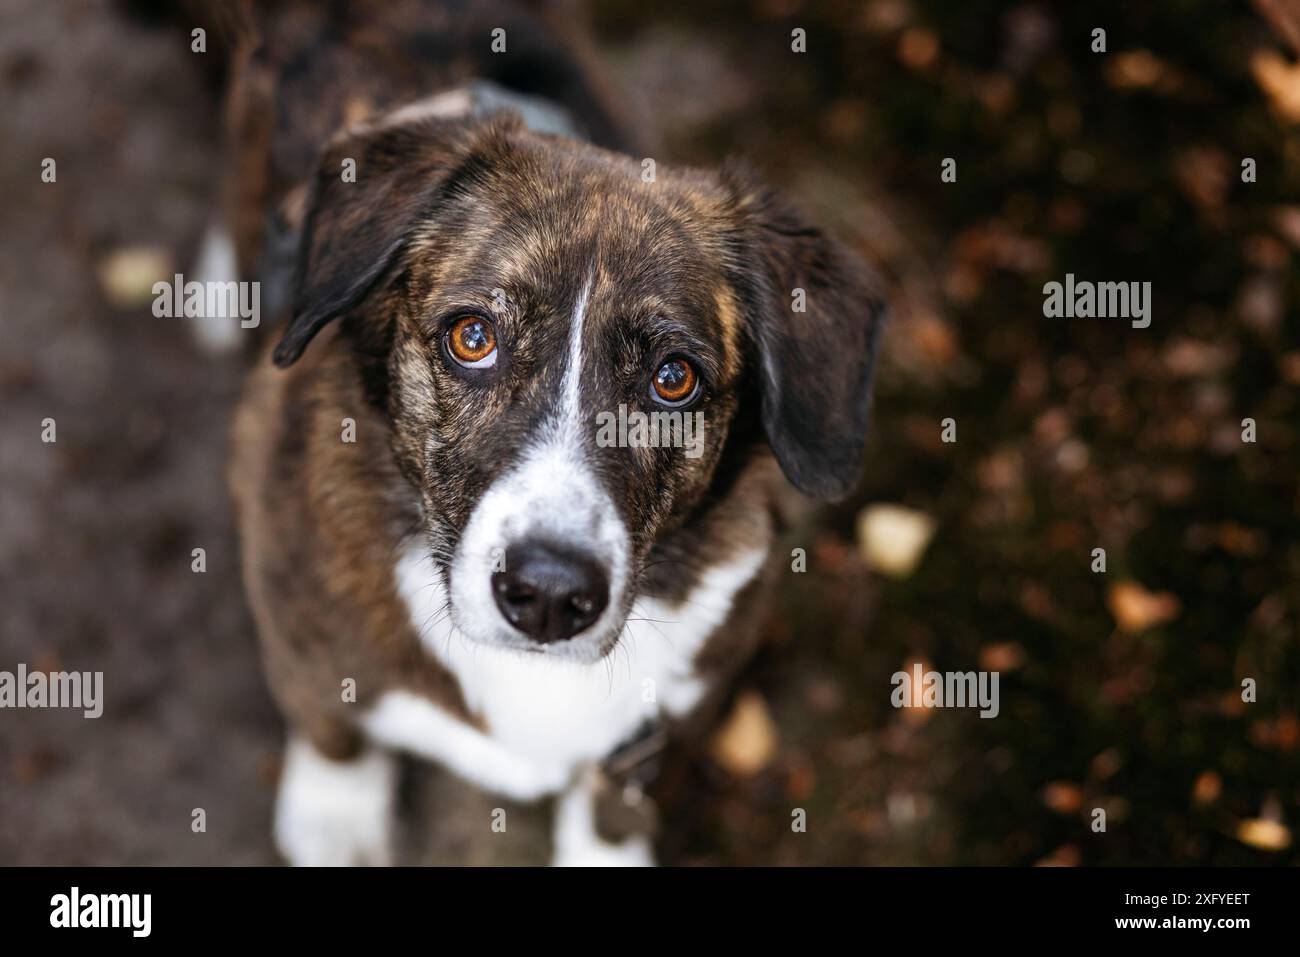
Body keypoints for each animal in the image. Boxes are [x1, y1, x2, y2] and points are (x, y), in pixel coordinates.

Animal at [223, 1, 889, 868]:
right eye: (472, 337)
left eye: (674, 378)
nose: (546, 596)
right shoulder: (290, 604)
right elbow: (331, 718)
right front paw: (337, 818)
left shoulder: (665, 716)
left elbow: (614, 800)